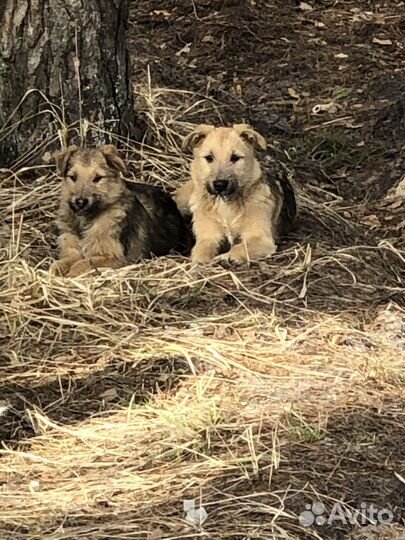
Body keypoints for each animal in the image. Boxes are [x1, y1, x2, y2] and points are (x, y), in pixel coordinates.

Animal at [51, 144, 189, 276]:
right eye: (73, 177)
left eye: (97, 178)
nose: (80, 202)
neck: (85, 220)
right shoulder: (72, 249)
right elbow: (62, 262)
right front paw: (58, 269)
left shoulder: (122, 258)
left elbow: (85, 263)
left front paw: (72, 272)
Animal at [174, 123, 296, 266]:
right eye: (209, 157)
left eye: (235, 157)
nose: (220, 184)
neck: (224, 202)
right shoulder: (208, 236)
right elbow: (201, 250)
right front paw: (201, 261)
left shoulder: (260, 238)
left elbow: (240, 247)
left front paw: (226, 257)